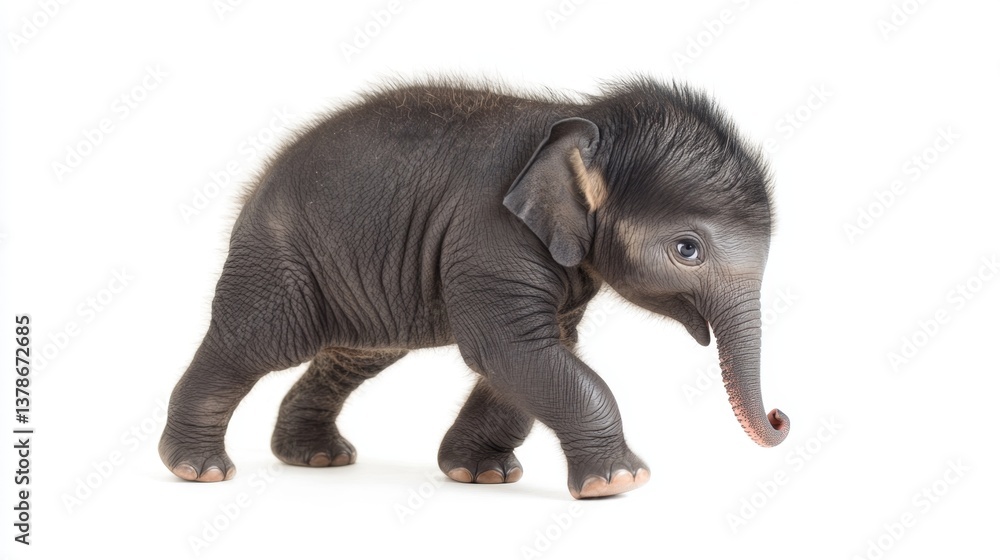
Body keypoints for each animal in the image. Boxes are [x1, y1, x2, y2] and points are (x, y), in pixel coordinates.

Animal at [159, 77, 789, 499]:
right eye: (688, 249)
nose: (780, 418)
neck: (581, 119)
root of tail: (255, 184)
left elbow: (538, 352)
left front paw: (480, 474)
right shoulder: (491, 235)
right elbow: (511, 349)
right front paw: (619, 480)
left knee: (354, 356)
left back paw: (317, 457)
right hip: (280, 260)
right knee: (259, 342)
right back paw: (199, 469)